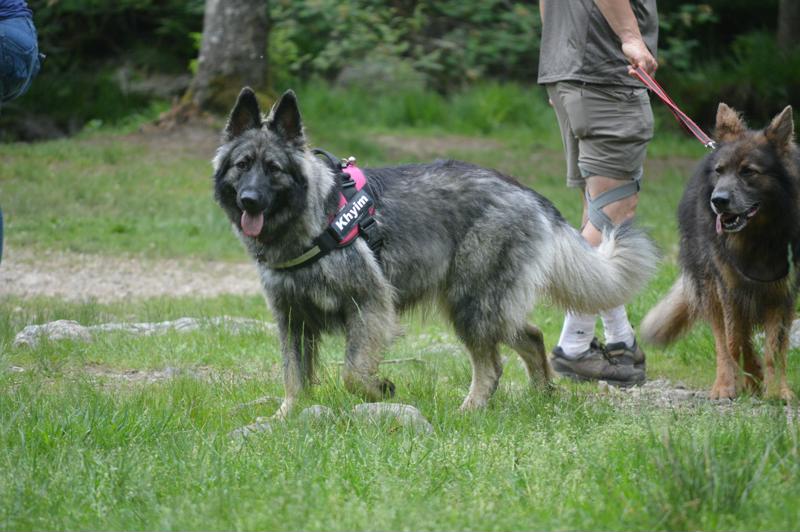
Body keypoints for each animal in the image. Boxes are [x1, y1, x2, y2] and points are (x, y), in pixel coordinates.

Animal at [213, 88, 658, 417]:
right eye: (242, 165)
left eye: (273, 168)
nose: (249, 201)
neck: (313, 220)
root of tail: (523, 190)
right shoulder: (293, 320)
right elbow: (294, 377)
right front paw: (286, 417)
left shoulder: (368, 306)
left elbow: (352, 374)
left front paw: (380, 389)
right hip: (482, 305)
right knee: (530, 335)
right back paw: (542, 391)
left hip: (469, 304)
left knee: (492, 364)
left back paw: (471, 409)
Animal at [641, 103, 798, 401]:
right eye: (720, 171)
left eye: (748, 172)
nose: (718, 201)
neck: (758, 236)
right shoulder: (729, 289)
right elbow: (735, 340)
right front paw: (752, 377)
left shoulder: (782, 294)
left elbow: (774, 347)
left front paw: (777, 390)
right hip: (710, 288)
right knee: (723, 340)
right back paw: (726, 384)